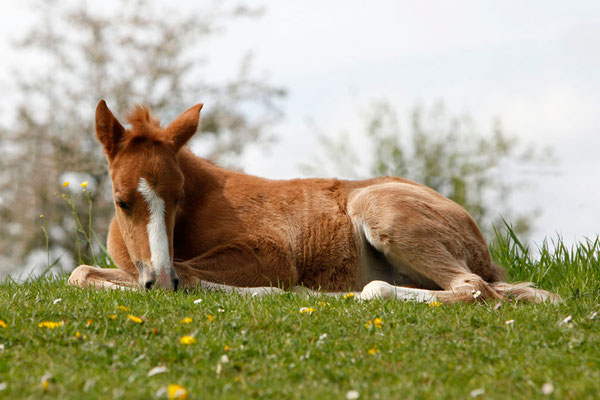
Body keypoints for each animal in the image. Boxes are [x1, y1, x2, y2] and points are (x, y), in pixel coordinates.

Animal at [69, 100, 556, 304]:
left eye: (179, 196)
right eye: (121, 201)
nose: (160, 281)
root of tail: (478, 241)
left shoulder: (270, 254)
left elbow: (194, 275)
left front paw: (274, 291)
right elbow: (80, 274)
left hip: (380, 209)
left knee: (472, 288)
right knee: (509, 292)